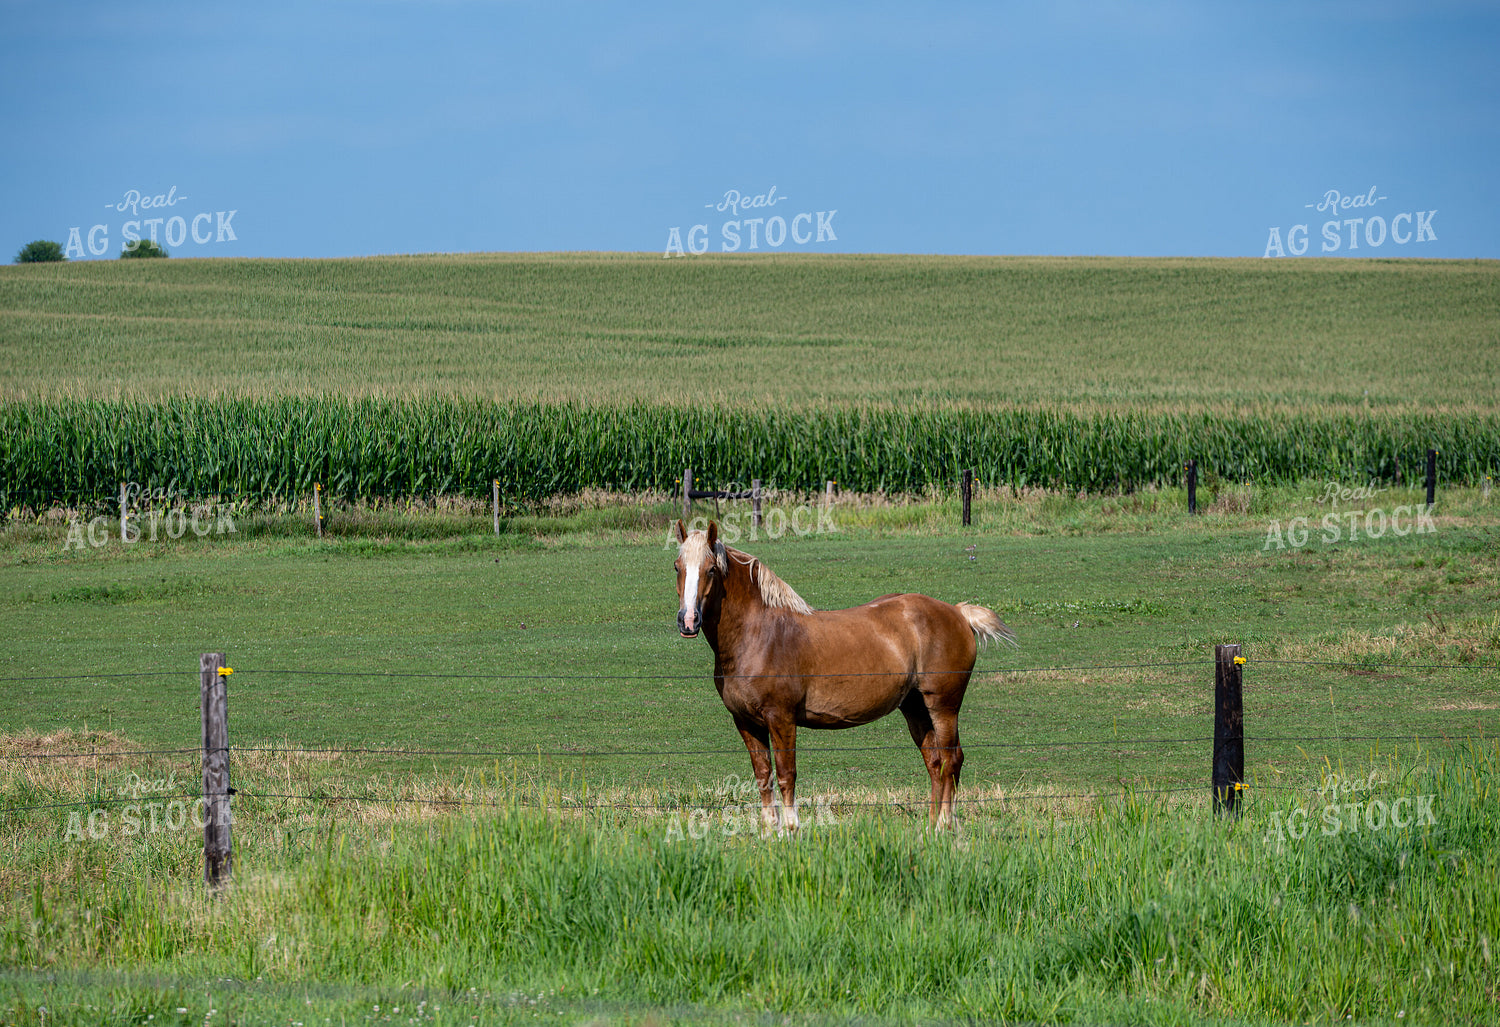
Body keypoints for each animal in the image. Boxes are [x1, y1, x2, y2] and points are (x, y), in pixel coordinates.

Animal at [672, 519, 1016, 832]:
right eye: (677, 567)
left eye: (711, 570)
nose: (688, 621)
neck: (760, 634)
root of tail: (957, 612)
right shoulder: (746, 722)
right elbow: (763, 776)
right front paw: (771, 833)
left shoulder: (780, 718)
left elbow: (786, 774)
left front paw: (791, 831)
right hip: (915, 707)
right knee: (934, 762)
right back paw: (932, 828)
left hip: (944, 706)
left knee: (950, 761)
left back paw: (945, 824)